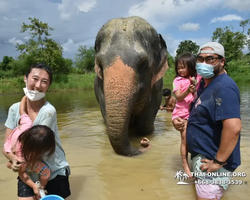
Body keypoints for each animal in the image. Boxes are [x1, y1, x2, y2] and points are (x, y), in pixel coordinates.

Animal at [94, 16, 169, 156]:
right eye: (100, 64)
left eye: (143, 63)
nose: (143, 144)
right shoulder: (99, 90)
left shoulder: (157, 88)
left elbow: (145, 127)